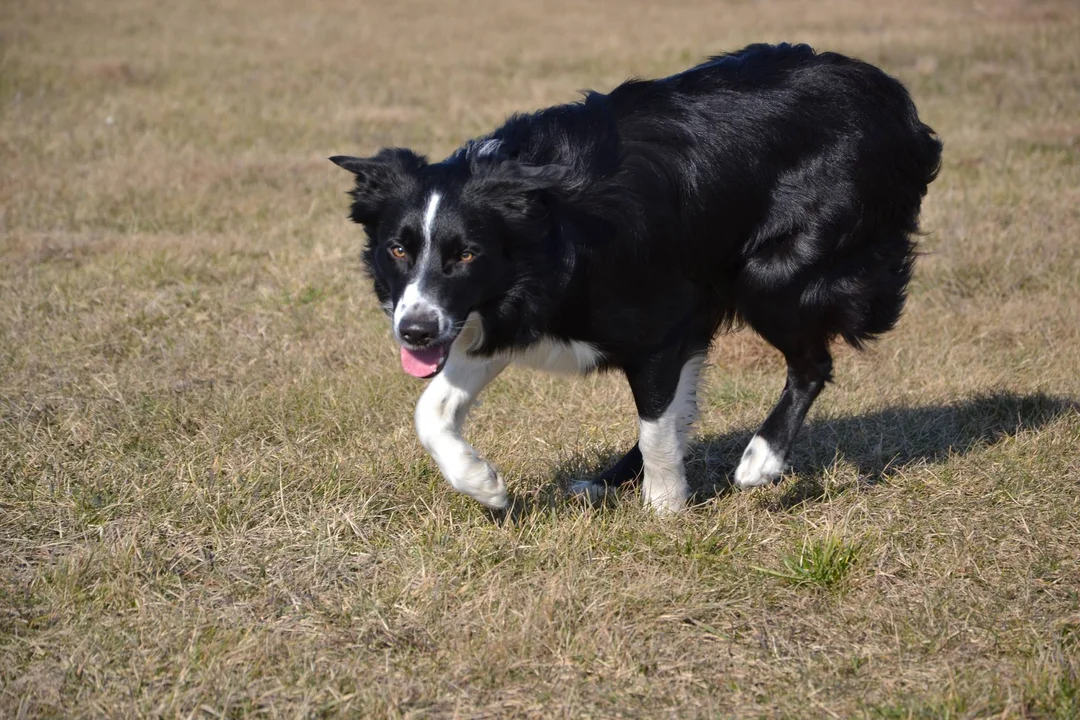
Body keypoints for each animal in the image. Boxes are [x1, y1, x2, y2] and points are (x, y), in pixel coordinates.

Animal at [332, 42, 941, 511]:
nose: (413, 332)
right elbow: (430, 411)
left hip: (773, 273)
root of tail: (888, 95)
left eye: (466, 254)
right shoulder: (498, 314)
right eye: (397, 249)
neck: (545, 224)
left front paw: (667, 512)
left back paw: (760, 461)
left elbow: (657, 426)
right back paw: (604, 482)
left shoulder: (660, 321)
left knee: (811, 363)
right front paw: (484, 485)